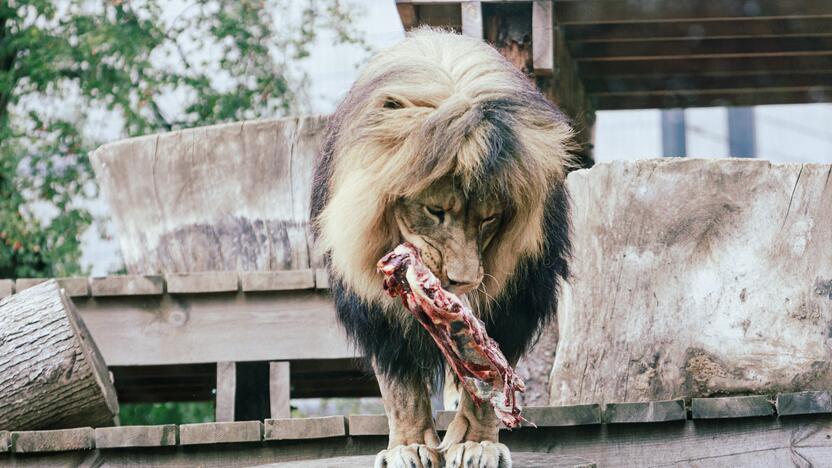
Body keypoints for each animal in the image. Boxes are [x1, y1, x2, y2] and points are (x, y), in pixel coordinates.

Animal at [308, 28, 576, 468]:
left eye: (489, 218)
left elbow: (488, 375)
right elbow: (401, 389)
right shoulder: (373, 310)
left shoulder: (515, 297)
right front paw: (409, 446)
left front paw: (476, 443)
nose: (462, 282)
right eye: (435, 210)